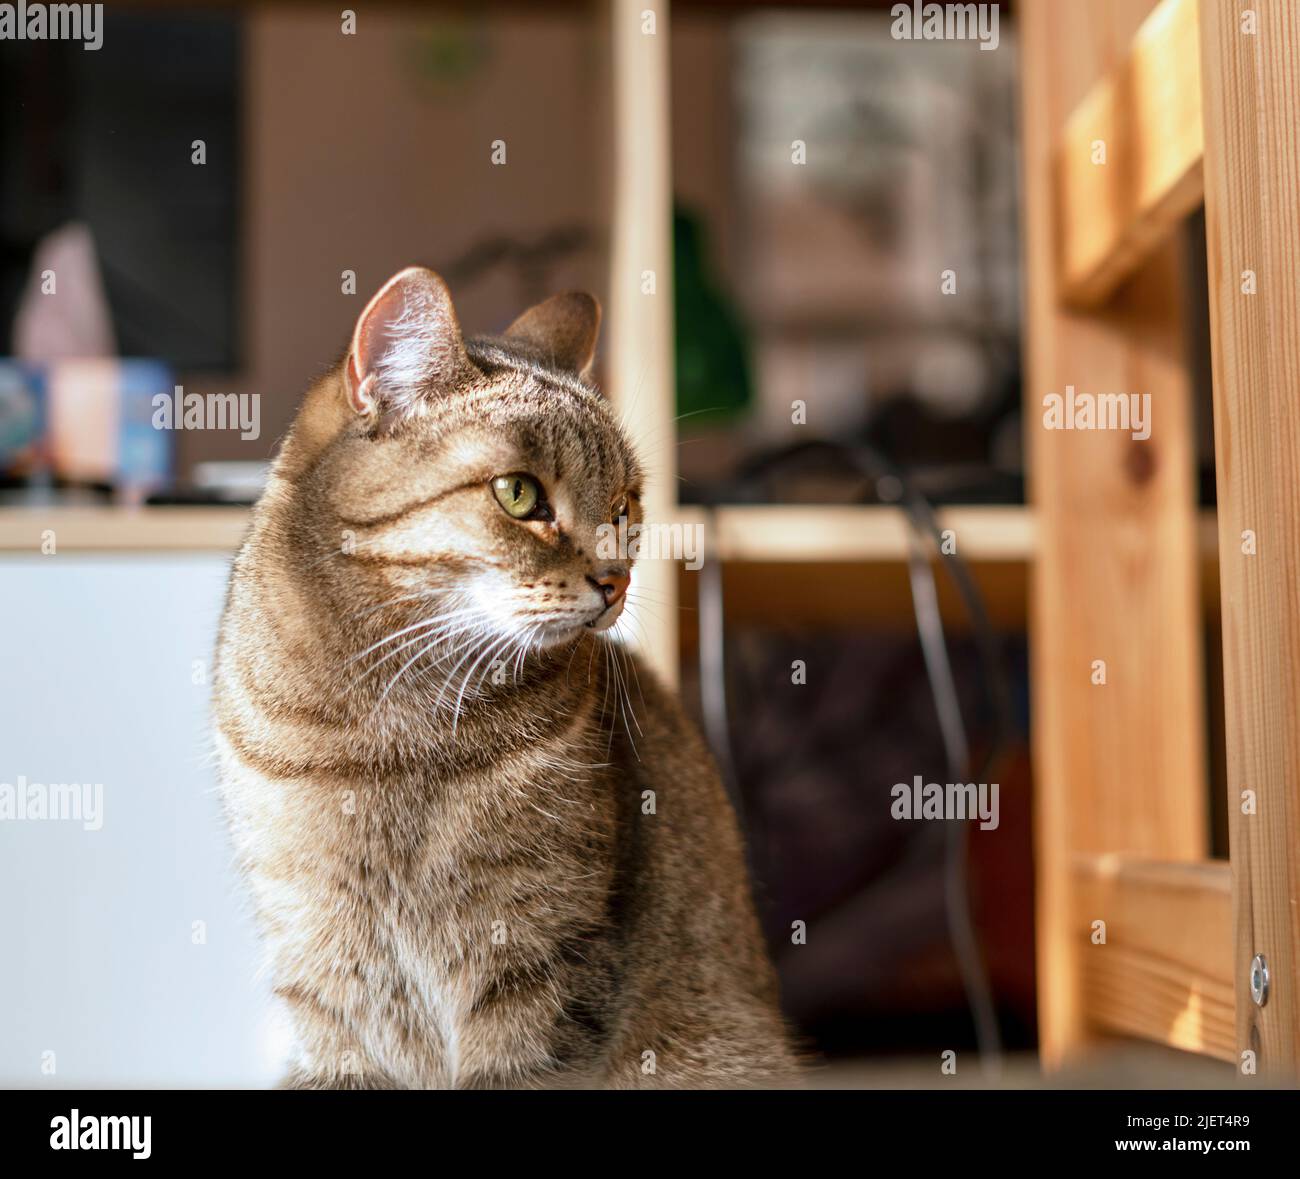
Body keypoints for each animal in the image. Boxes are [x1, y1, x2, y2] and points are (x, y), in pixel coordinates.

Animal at [213, 267, 790, 1086]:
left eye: (625, 505)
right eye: (518, 494)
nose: (616, 580)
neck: (385, 727)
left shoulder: (538, 964)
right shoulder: (325, 973)